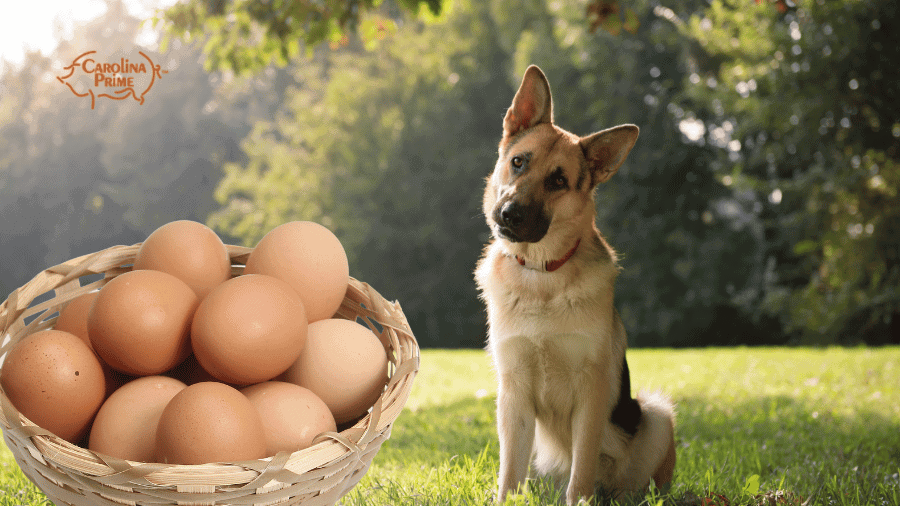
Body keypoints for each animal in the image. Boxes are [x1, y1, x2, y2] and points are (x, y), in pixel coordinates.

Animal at [474, 66, 680, 502]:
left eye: (558, 181)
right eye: (518, 162)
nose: (509, 214)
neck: (542, 274)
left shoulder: (592, 392)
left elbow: (581, 468)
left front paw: (580, 500)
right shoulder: (513, 395)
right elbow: (509, 472)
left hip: (655, 414)